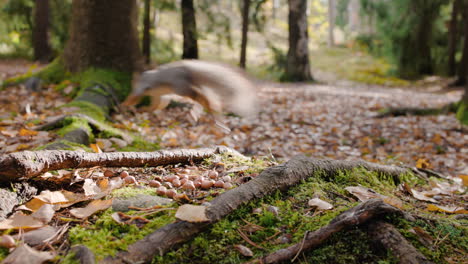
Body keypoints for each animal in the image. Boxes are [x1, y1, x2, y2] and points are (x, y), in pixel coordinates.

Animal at [122, 59, 258, 129]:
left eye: (134, 80)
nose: (131, 83)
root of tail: (187, 68)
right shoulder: (159, 97)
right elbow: (156, 106)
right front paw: (143, 109)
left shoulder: (142, 89)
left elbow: (133, 98)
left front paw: (124, 105)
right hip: (188, 87)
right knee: (204, 97)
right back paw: (209, 111)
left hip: (180, 88)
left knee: (199, 96)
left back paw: (208, 110)